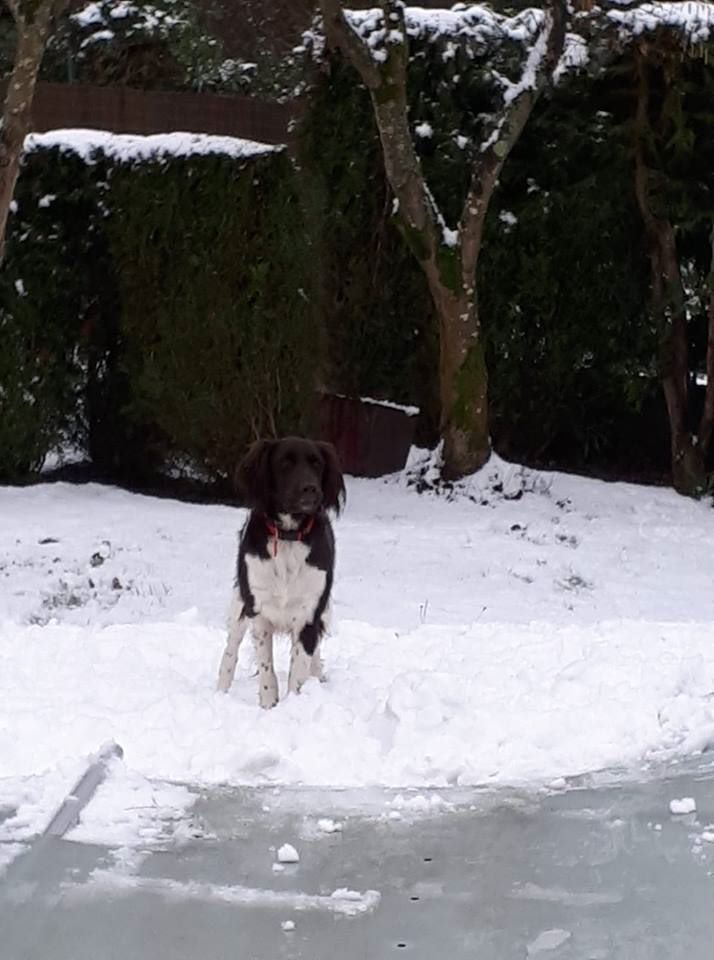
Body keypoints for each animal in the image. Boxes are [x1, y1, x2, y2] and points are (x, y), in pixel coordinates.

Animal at [216, 436, 344, 704]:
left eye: (317, 464)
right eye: (285, 463)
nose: (311, 489)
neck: (288, 536)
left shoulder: (309, 614)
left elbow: (298, 673)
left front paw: (294, 703)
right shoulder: (258, 610)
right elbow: (267, 669)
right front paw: (268, 704)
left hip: (325, 611)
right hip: (239, 605)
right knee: (230, 651)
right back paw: (220, 691)